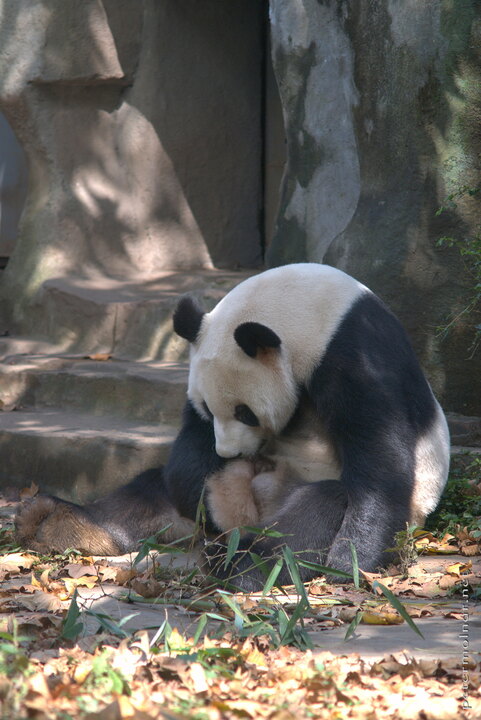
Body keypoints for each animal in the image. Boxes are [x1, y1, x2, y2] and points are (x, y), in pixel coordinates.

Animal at [15, 264, 450, 592]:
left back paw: (239, 565)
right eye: (209, 409)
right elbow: (188, 449)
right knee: (145, 493)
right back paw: (60, 523)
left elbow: (379, 450)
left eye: (246, 413)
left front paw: (352, 560)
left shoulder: (355, 354)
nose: (228, 455)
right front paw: (203, 493)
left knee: (315, 515)